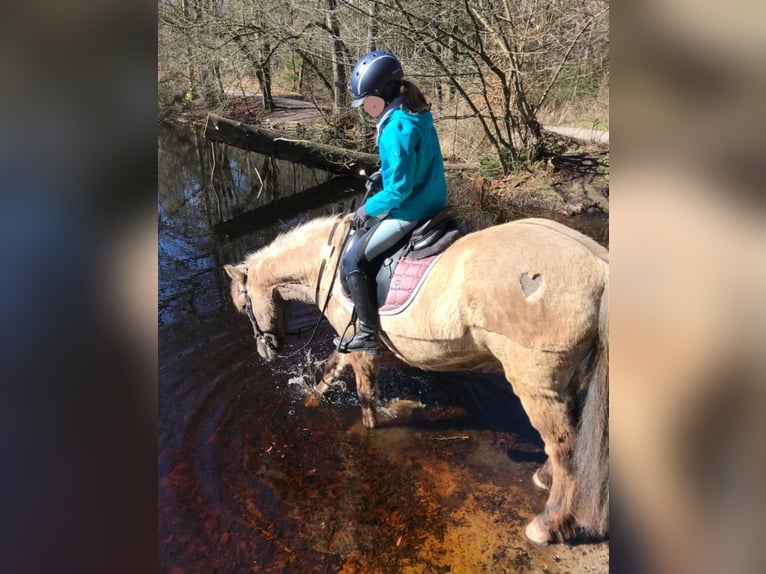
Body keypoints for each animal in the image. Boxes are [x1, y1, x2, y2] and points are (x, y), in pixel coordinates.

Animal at [224, 215, 612, 544]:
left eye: (243, 307)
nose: (266, 351)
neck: (328, 262)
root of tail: (599, 268)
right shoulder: (349, 341)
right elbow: (330, 370)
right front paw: (312, 399)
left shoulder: (362, 348)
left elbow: (366, 398)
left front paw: (369, 432)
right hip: (564, 379)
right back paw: (544, 479)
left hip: (535, 383)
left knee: (564, 447)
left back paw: (547, 525)